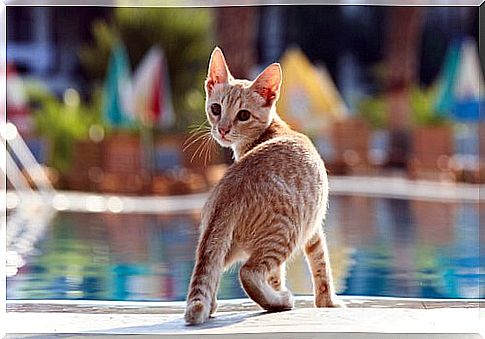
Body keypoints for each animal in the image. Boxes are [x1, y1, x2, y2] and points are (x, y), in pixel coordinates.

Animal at [184, 46, 340, 326]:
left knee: (209, 272)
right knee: (248, 272)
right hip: (286, 232)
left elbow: (290, 271)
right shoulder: (313, 228)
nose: (222, 129)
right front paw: (329, 303)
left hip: (221, 245)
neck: (273, 131)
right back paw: (279, 301)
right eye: (216, 109)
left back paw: (212, 305)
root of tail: (229, 191)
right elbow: (321, 266)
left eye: (243, 115)